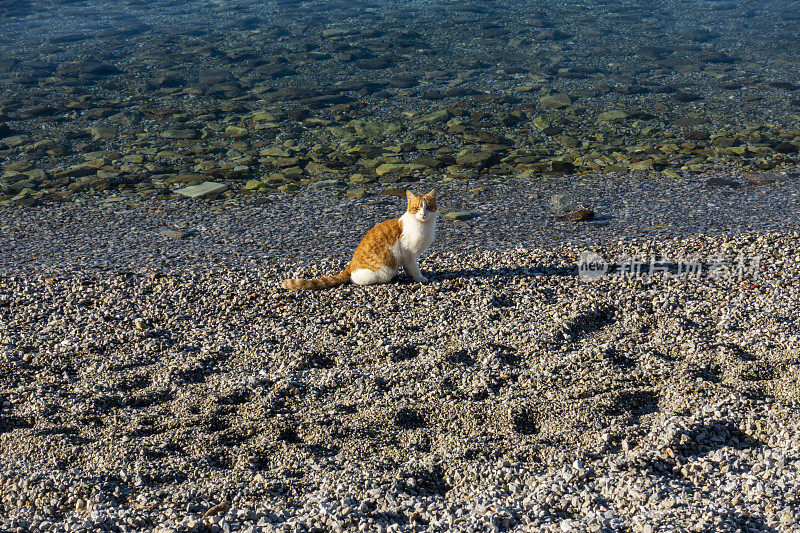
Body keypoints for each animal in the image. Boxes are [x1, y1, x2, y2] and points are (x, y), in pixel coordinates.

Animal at [282, 188, 438, 288]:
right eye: (417, 208)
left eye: (429, 207)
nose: (423, 214)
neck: (423, 226)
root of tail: (350, 265)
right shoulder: (409, 254)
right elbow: (414, 268)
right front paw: (420, 278)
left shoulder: (408, 257)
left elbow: (408, 268)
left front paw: (409, 274)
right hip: (380, 273)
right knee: (356, 279)